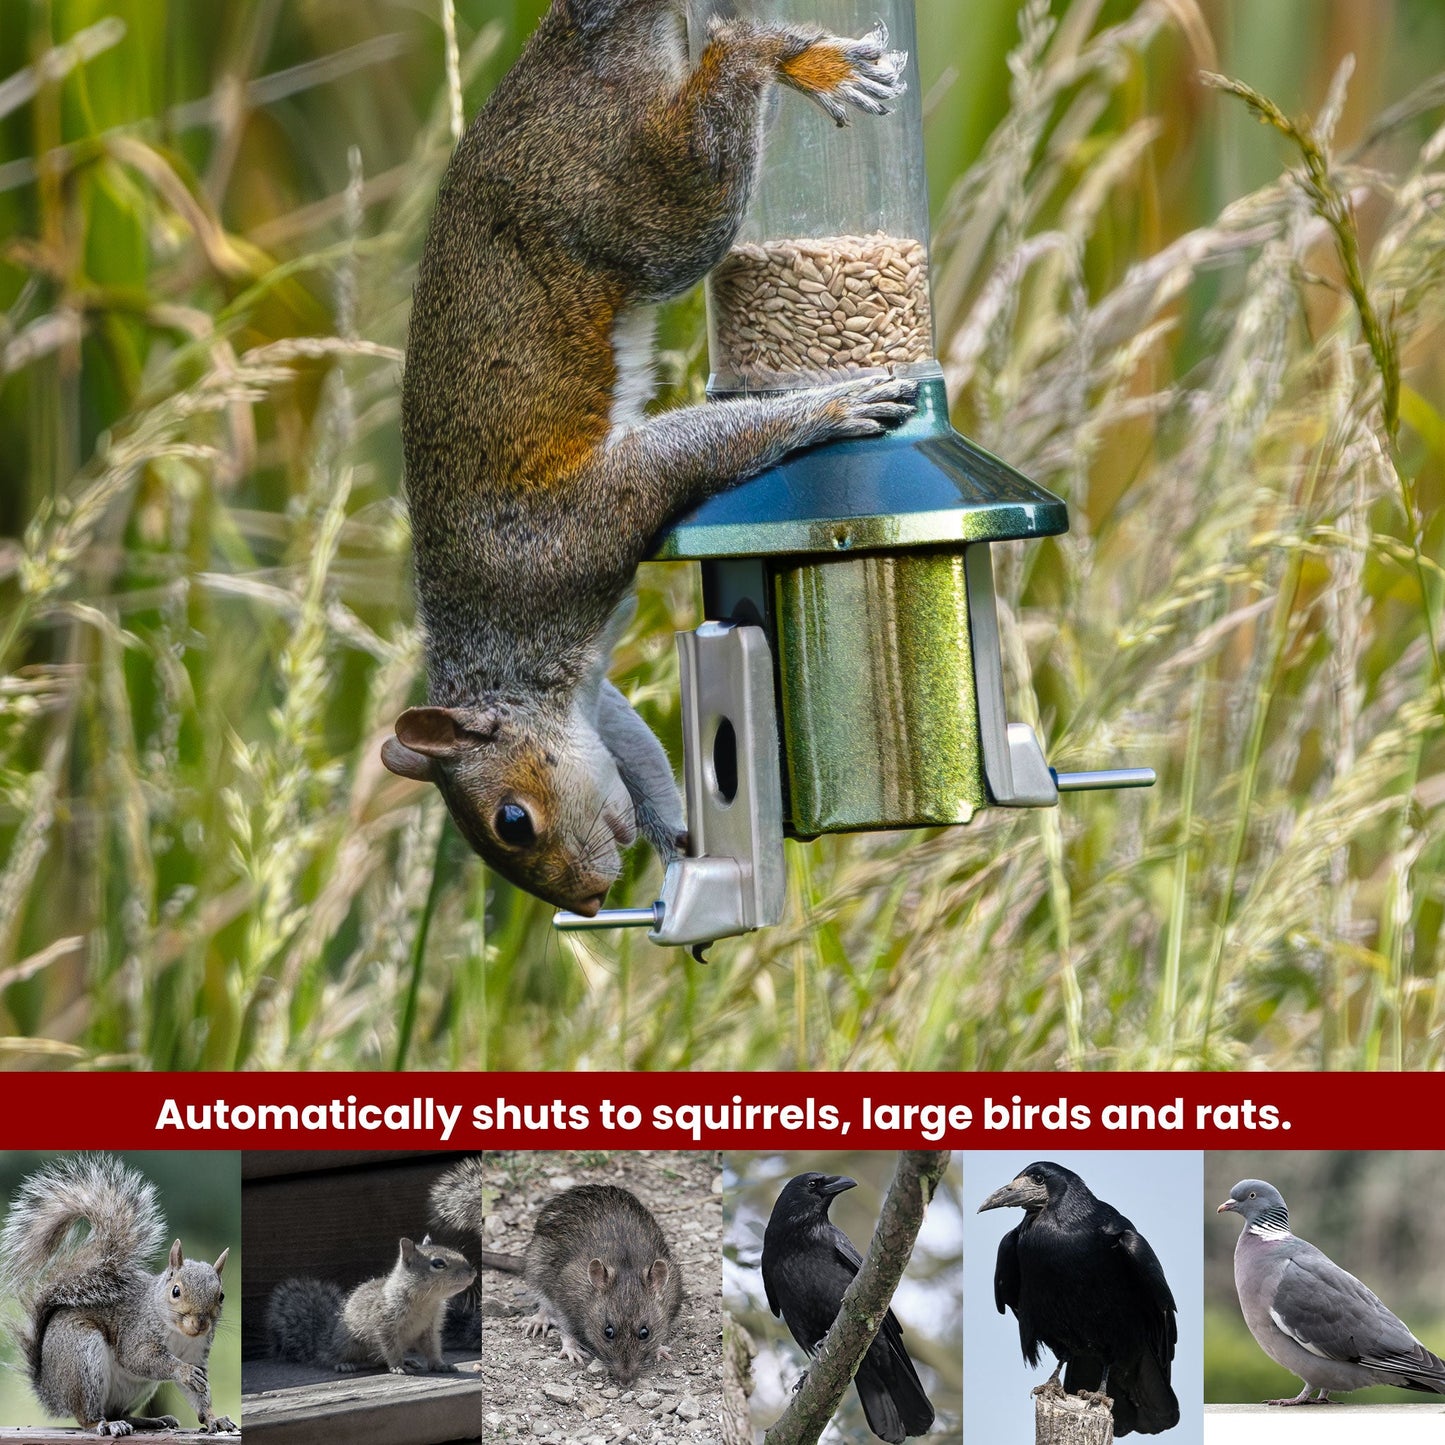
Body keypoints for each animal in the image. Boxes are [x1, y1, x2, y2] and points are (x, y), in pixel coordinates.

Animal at [0, 1153, 237, 1437]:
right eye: (176, 1291)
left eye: (221, 1296)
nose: (201, 1323)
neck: (178, 1332)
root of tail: (51, 1391)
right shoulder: (137, 1332)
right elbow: (140, 1358)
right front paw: (183, 1371)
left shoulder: (197, 1352)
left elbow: (199, 1395)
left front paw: (214, 1419)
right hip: (82, 1358)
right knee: (87, 1415)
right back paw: (104, 1424)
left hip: (136, 1388)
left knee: (118, 1411)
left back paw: (148, 1421)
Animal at [266, 1236, 476, 1375]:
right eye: (438, 1263)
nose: (472, 1272)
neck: (426, 1300)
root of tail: (325, 1341)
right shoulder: (385, 1324)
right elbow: (390, 1348)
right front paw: (398, 1366)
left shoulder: (430, 1329)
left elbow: (432, 1348)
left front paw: (440, 1364)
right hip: (348, 1344)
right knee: (336, 1357)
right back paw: (346, 1364)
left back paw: (408, 1361)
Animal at [384, 0, 918, 915]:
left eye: (511, 821)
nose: (587, 902)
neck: (503, 651)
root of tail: (567, 47)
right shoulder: (595, 704)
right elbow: (634, 751)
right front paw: (677, 838)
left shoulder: (578, 530)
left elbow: (684, 454)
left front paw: (831, 407)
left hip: (640, 200)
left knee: (723, 89)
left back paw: (792, 59)